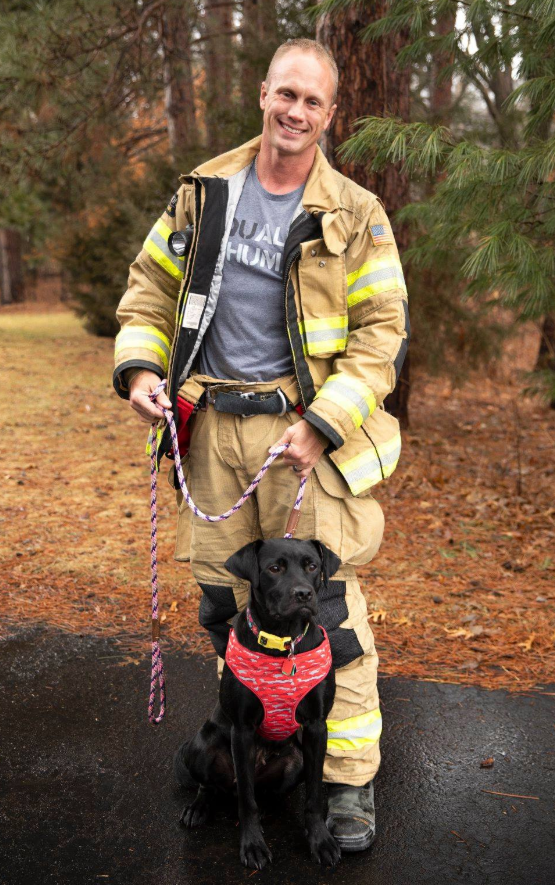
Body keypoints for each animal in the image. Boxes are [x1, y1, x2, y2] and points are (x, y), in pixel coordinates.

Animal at [176, 536, 344, 868]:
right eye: (274, 568)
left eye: (312, 566)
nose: (303, 593)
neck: (283, 642)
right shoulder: (242, 729)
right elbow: (247, 800)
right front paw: (252, 845)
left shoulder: (317, 727)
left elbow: (314, 795)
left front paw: (320, 841)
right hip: (201, 746)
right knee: (215, 787)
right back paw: (199, 808)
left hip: (296, 760)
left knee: (266, 793)